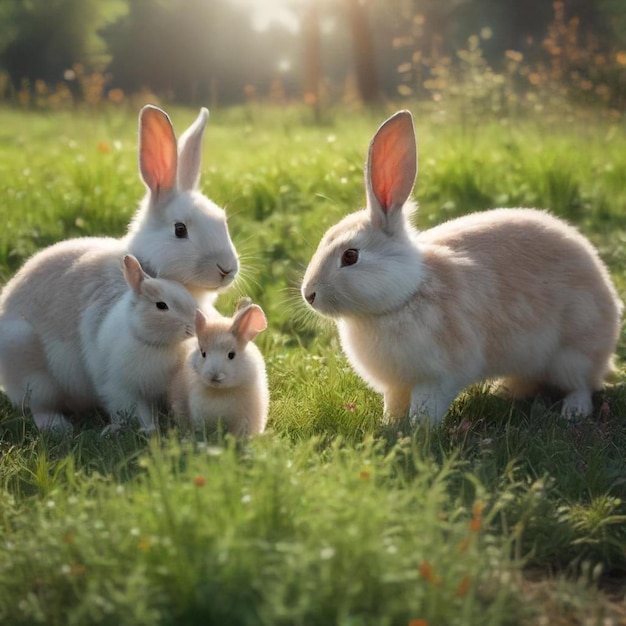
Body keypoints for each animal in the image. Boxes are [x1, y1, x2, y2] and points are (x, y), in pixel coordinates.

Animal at [82, 254, 195, 434]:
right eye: (161, 305)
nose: (193, 326)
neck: (155, 345)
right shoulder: (125, 390)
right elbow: (140, 412)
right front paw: (149, 429)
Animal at [300, 112, 620, 424]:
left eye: (350, 256)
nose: (309, 295)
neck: (404, 297)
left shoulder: (439, 377)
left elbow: (426, 406)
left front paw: (419, 430)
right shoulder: (396, 386)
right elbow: (393, 405)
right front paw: (390, 425)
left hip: (573, 354)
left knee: (582, 386)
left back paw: (573, 411)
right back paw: (503, 390)